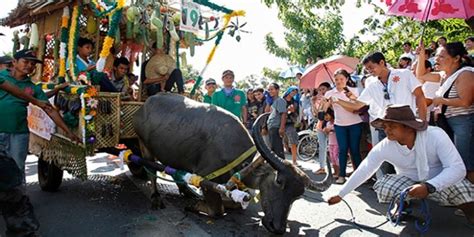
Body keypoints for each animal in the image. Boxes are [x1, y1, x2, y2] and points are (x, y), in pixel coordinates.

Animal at [133, 92, 334, 233]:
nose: (278, 228)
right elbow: (217, 210)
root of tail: (145, 105)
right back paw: (157, 197)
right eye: (278, 181)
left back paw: (186, 191)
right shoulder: (206, 179)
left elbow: (235, 203)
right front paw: (195, 205)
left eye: (298, 196)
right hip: (144, 146)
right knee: (151, 171)